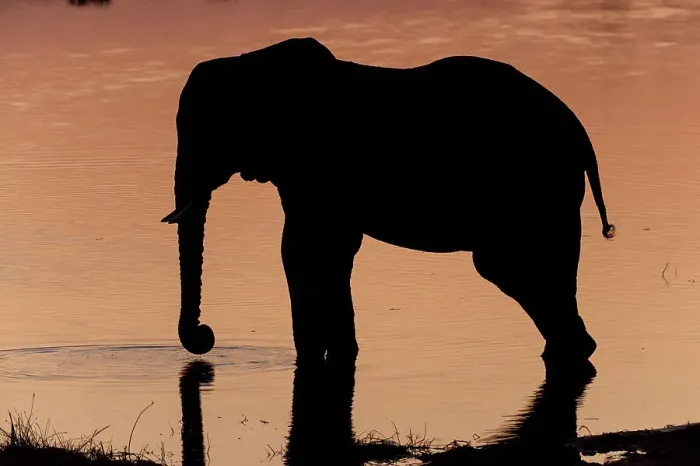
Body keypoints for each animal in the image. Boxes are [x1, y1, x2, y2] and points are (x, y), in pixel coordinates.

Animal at [162, 37, 615, 366]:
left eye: (208, 130)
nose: (206, 335)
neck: (252, 64)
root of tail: (581, 135)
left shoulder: (318, 161)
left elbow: (304, 248)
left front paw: (314, 359)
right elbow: (326, 251)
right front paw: (339, 354)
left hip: (536, 189)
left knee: (512, 265)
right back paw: (570, 350)